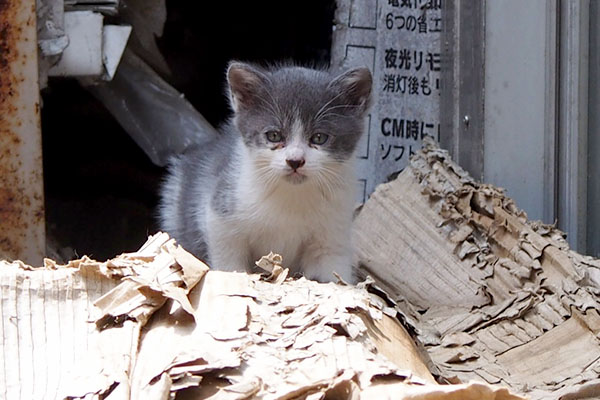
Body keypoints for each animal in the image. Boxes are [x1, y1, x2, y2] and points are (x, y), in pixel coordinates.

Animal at [159, 61, 370, 282]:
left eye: (319, 138)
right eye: (274, 135)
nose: (295, 161)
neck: (292, 196)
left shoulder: (333, 233)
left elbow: (334, 270)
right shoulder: (221, 213)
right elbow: (227, 255)